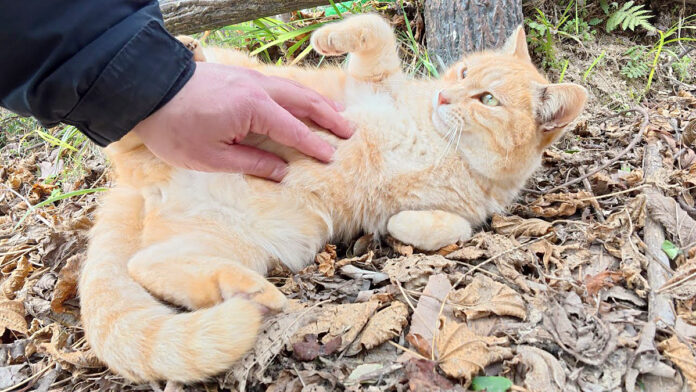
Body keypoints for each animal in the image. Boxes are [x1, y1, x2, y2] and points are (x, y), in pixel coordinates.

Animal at [80, 15, 588, 382]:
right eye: (463, 71)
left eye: (488, 99)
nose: (445, 96)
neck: (436, 137)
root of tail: (140, 187)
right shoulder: (370, 81)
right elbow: (376, 28)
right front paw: (327, 36)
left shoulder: (468, 210)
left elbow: (451, 226)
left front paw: (400, 225)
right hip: (214, 104)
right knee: (129, 132)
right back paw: (191, 51)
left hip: (232, 241)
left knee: (148, 263)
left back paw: (247, 290)